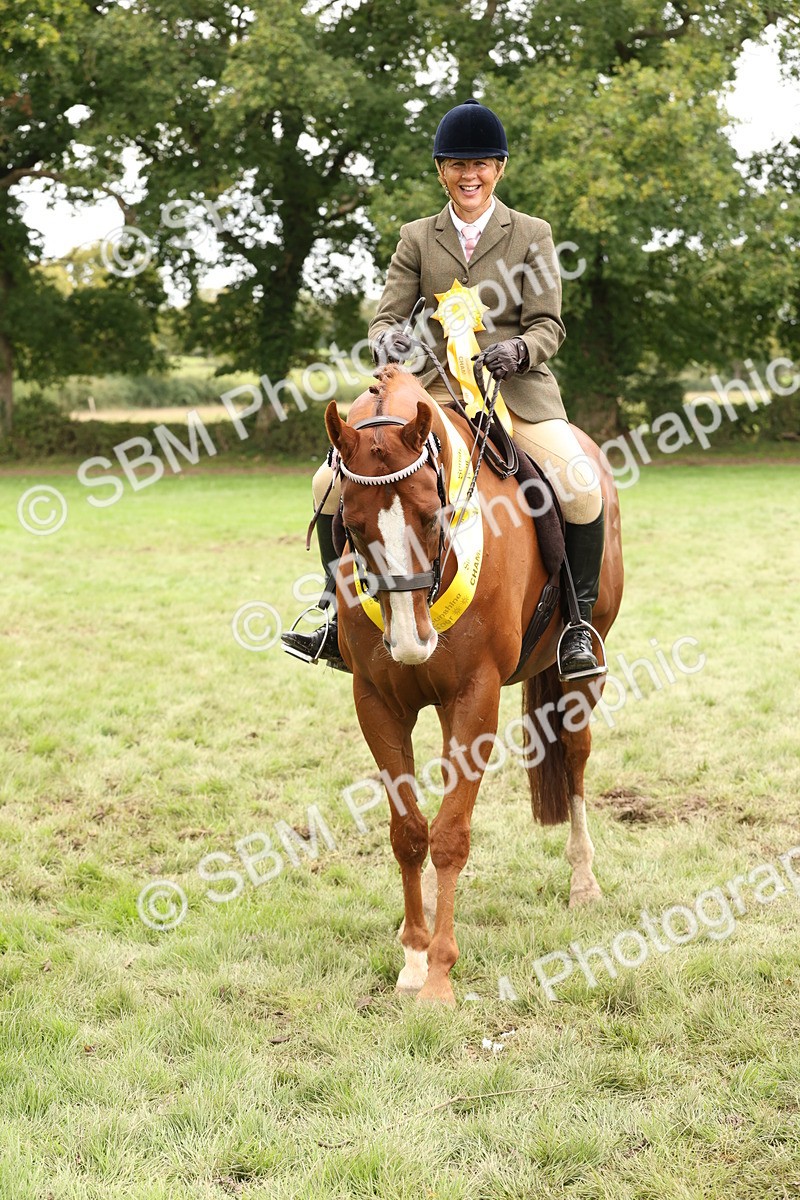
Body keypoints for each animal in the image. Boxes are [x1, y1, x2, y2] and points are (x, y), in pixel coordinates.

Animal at [324, 364, 624, 1006]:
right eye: (351, 527)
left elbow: (451, 836)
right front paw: (414, 958)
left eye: (431, 515)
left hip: (581, 673)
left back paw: (584, 883)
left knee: (576, 757)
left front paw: (439, 973)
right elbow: (411, 832)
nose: (412, 643)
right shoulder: (377, 701)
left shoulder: (476, 697)